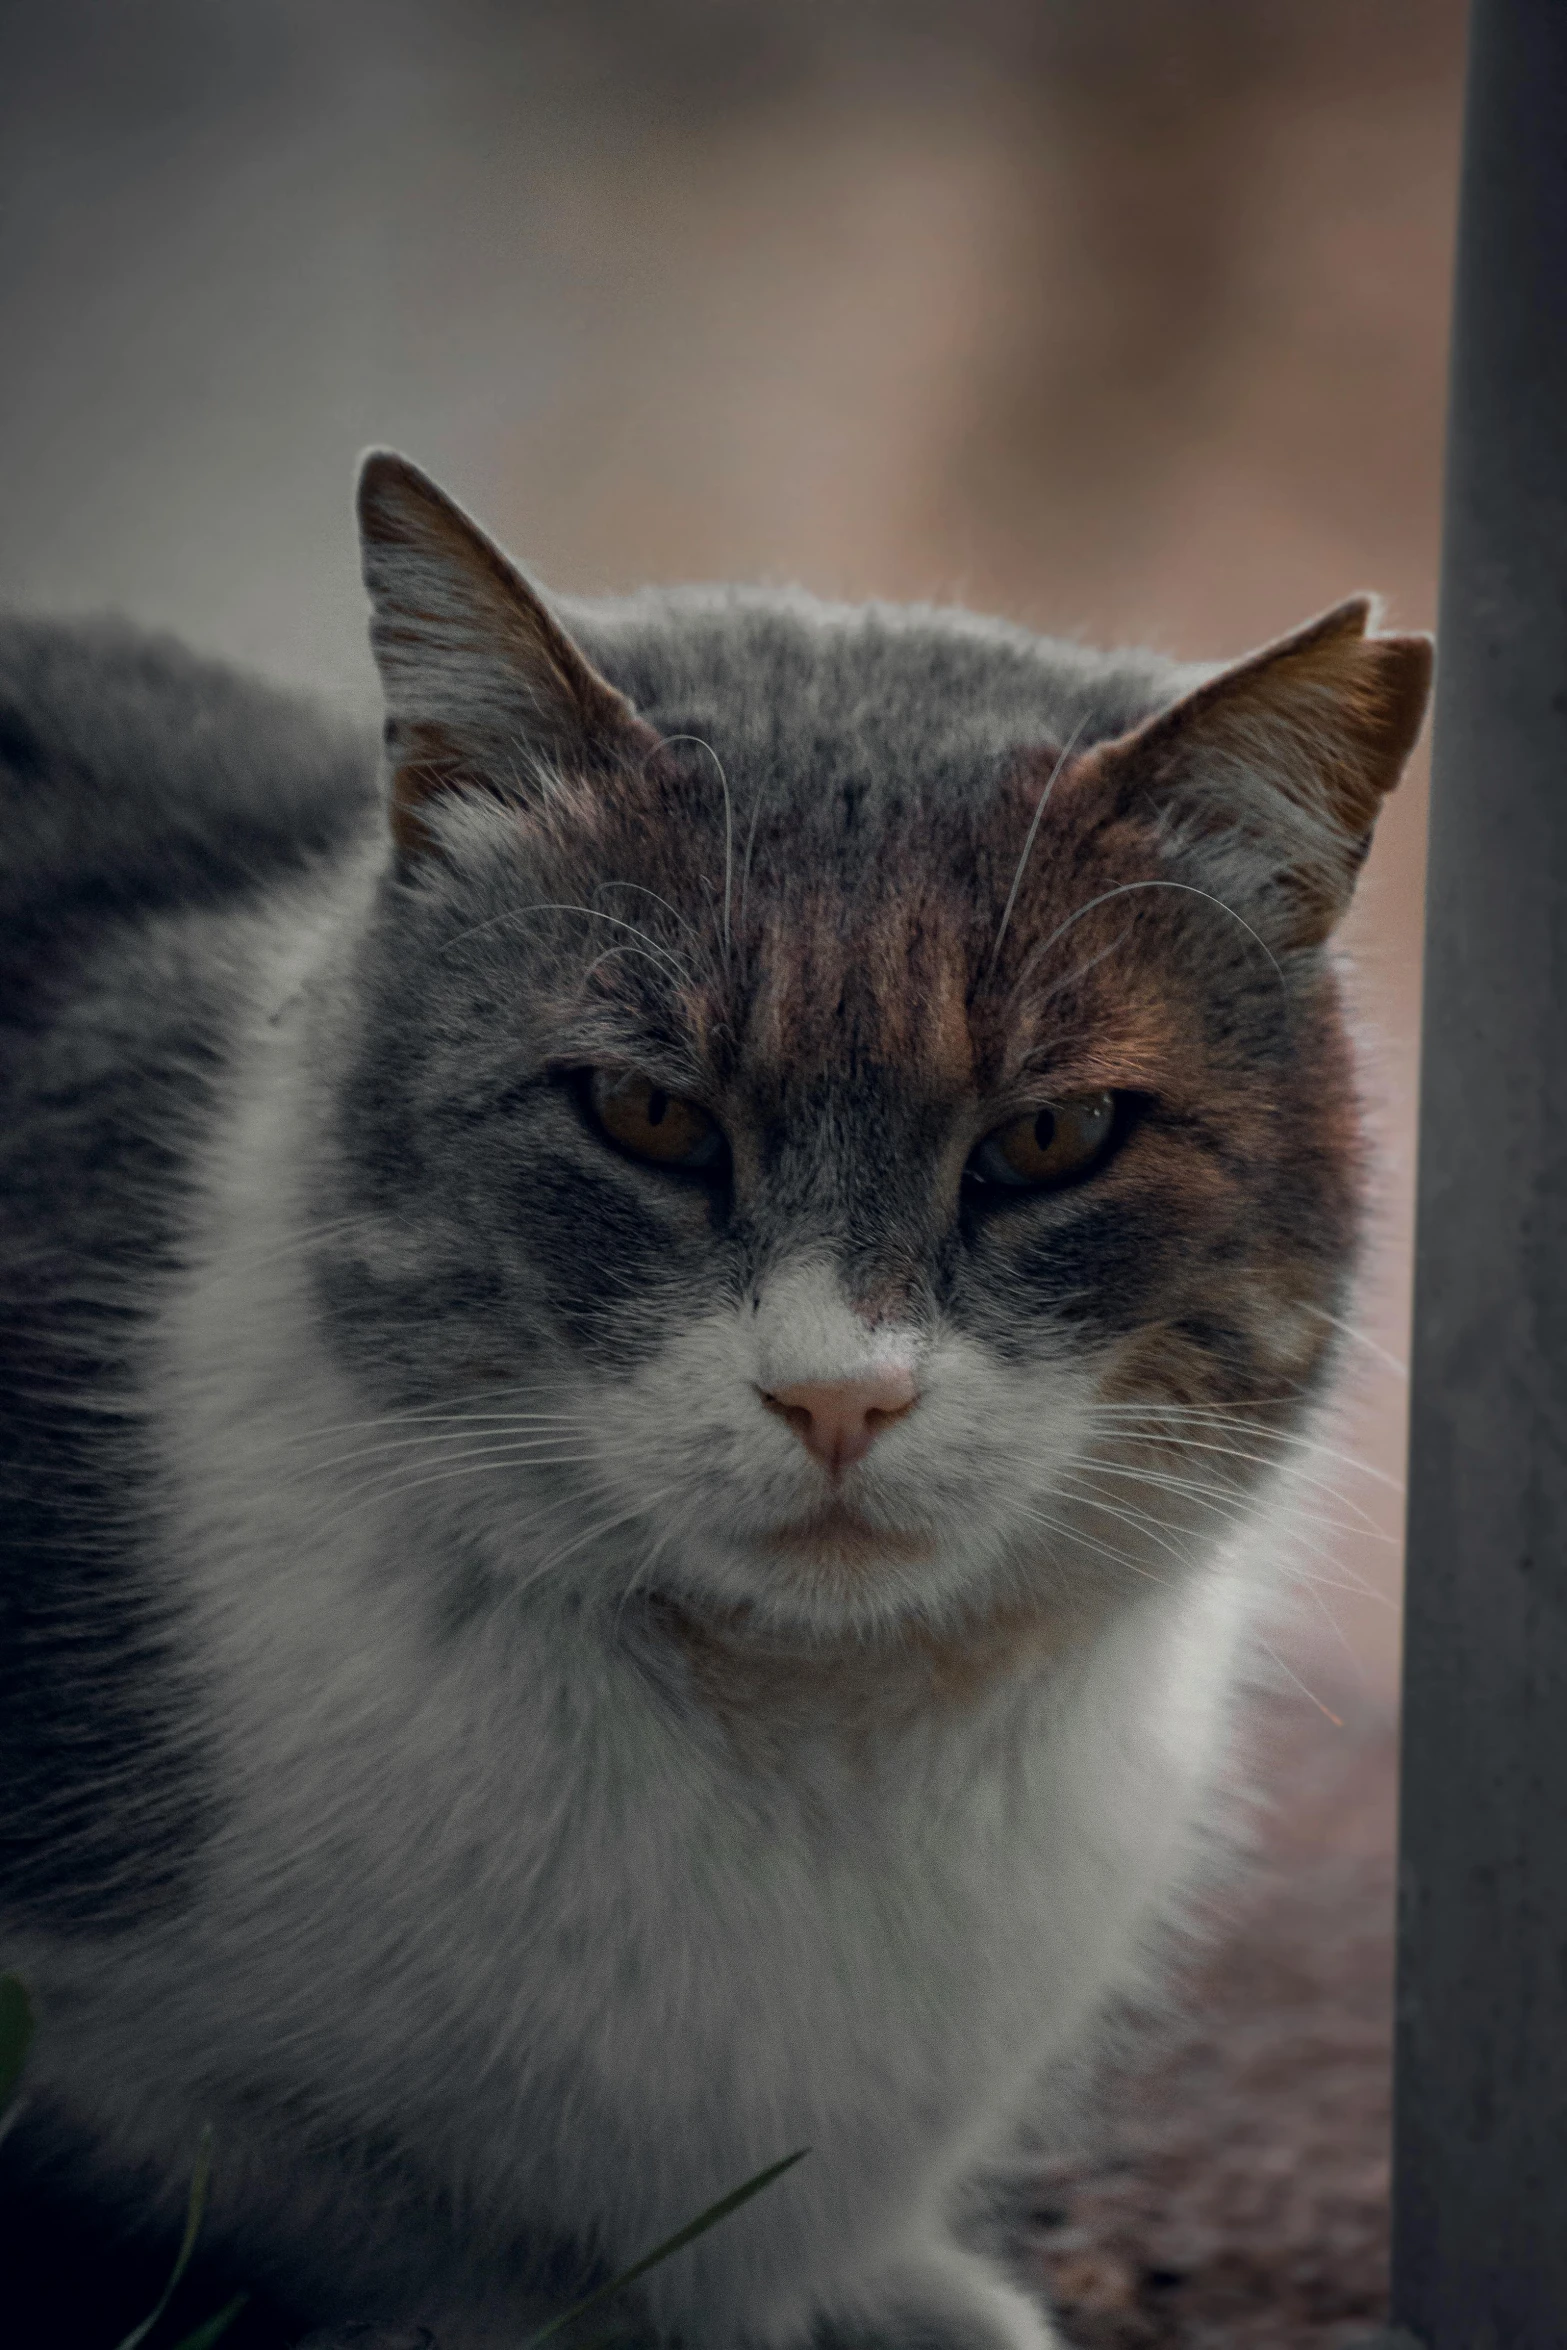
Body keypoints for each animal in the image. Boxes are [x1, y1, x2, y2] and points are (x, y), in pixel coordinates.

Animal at [0, 444, 1428, 2350]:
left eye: (1052, 1136)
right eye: (646, 1113)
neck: (807, 1742)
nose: (836, 1400)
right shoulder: (135, 2085)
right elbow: (404, 2240)